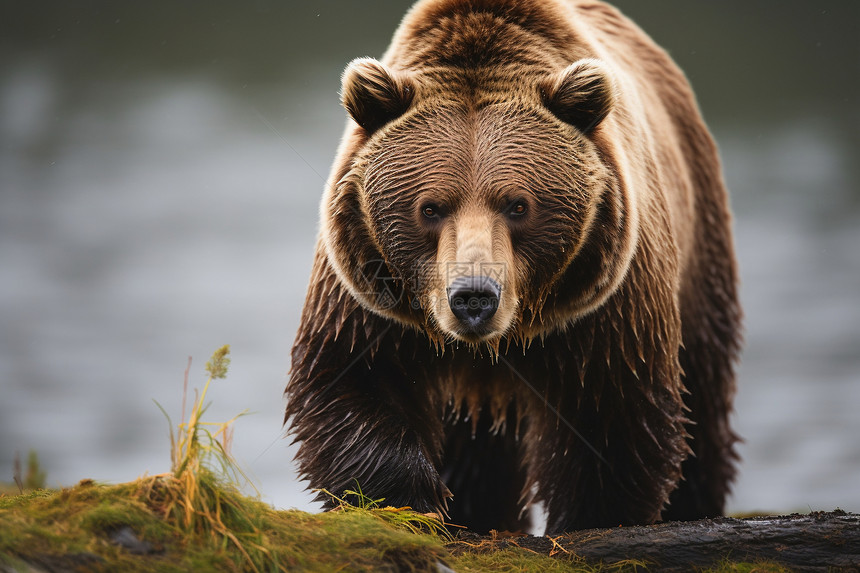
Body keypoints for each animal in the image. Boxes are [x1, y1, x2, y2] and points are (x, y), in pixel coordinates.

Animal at [284, 0, 740, 536]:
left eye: (518, 205)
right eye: (430, 208)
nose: (474, 298)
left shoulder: (607, 304)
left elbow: (612, 414)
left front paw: (591, 519)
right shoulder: (369, 295)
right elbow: (353, 381)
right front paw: (410, 501)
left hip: (699, 244)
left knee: (704, 400)